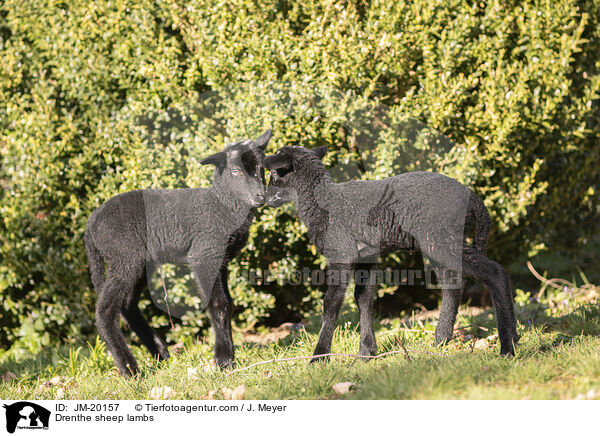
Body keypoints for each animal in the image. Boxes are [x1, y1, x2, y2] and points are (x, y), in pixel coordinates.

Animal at [84, 129, 272, 374]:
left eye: (261, 168)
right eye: (235, 171)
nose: (261, 196)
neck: (220, 204)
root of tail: (91, 223)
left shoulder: (221, 260)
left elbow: (228, 303)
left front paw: (228, 357)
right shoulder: (203, 254)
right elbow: (219, 304)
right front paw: (224, 360)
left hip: (140, 263)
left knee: (126, 305)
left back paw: (159, 353)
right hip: (125, 257)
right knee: (105, 311)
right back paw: (130, 370)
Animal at [264, 145, 516, 360]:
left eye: (275, 174)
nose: (264, 197)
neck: (321, 201)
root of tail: (475, 201)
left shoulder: (340, 252)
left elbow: (332, 303)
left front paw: (319, 357)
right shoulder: (365, 256)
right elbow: (363, 298)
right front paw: (366, 352)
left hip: (441, 237)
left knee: (495, 273)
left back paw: (508, 346)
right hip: (439, 241)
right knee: (453, 284)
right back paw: (442, 340)